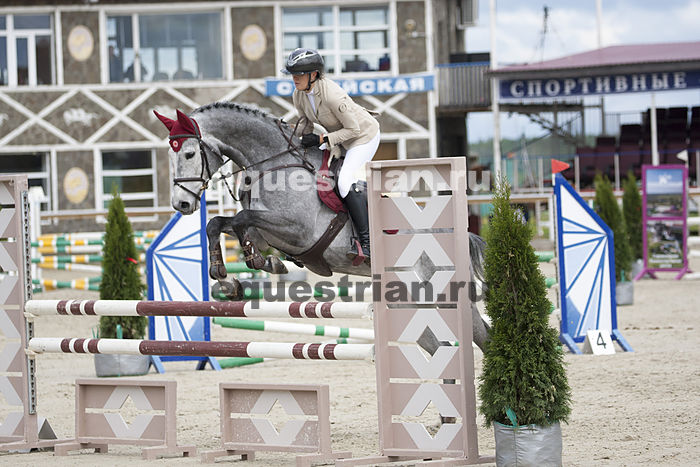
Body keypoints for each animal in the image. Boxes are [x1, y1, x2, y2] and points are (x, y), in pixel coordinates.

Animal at [154, 103, 491, 351]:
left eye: (189, 153)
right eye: (171, 155)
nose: (181, 205)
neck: (272, 164)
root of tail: (457, 235)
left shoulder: (295, 230)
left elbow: (240, 219)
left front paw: (252, 265)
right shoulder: (269, 232)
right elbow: (218, 224)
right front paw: (231, 277)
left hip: (442, 294)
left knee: (480, 336)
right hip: (407, 302)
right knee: (436, 344)